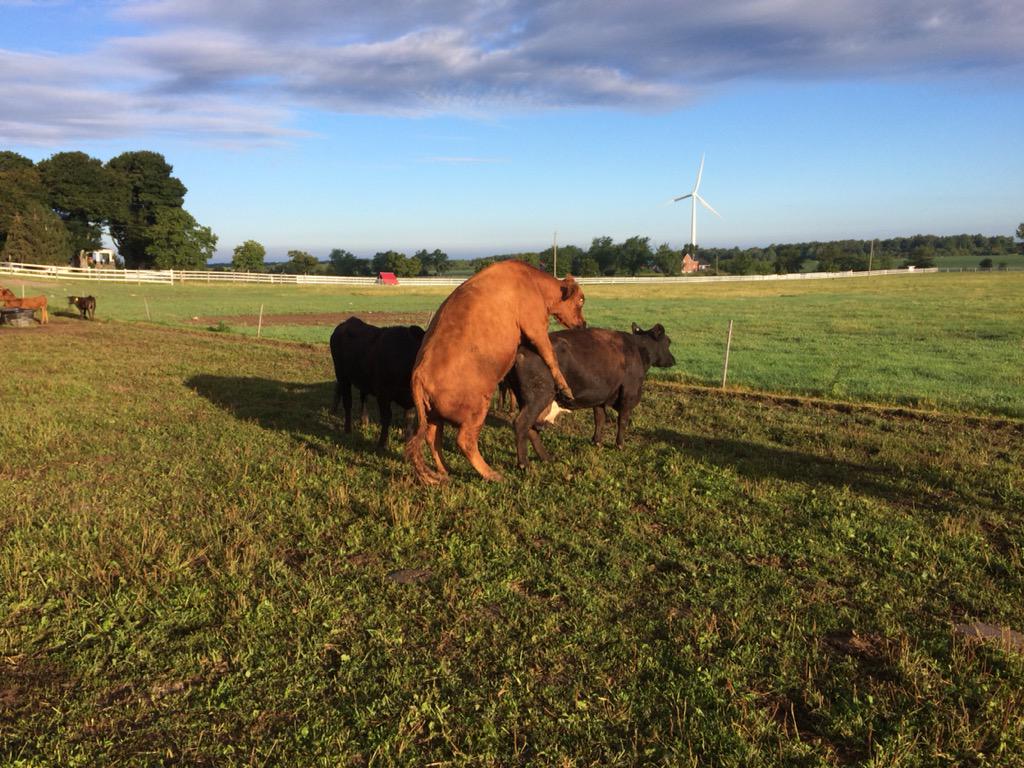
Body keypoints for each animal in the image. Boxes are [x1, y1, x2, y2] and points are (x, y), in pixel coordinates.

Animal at [329, 317, 426, 449]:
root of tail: (346, 322)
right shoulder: (383, 393)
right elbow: (386, 417)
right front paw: (382, 444)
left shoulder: (411, 398)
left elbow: (409, 419)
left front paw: (409, 442)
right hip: (342, 375)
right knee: (347, 402)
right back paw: (348, 429)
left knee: (363, 397)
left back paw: (364, 421)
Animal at [406, 260, 587, 484]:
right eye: (581, 300)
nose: (584, 324)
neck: (532, 283)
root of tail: (418, 374)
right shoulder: (535, 326)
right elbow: (549, 354)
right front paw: (565, 388)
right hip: (477, 407)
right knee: (464, 441)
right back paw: (491, 474)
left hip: (433, 415)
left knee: (433, 439)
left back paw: (445, 471)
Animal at [504, 323, 675, 469]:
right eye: (668, 342)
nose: (674, 360)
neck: (638, 349)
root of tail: (520, 351)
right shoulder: (628, 396)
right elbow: (622, 421)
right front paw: (620, 445)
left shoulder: (599, 397)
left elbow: (600, 419)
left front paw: (597, 442)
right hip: (538, 399)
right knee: (521, 425)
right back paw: (524, 464)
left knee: (531, 429)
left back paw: (546, 458)